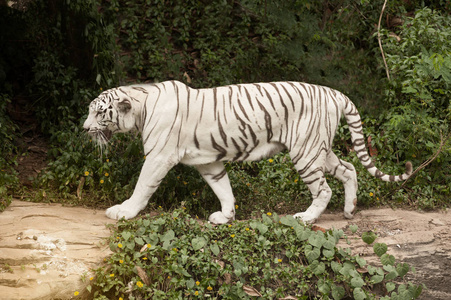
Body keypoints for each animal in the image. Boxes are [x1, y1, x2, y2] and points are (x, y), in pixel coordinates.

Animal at [83, 81, 412, 224]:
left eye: (99, 113)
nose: (85, 129)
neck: (141, 106)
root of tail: (334, 93)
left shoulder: (158, 157)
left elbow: (142, 187)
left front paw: (123, 211)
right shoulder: (208, 162)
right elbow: (223, 188)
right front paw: (226, 216)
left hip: (305, 151)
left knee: (324, 189)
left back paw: (306, 217)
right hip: (319, 148)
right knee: (348, 169)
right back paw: (349, 209)